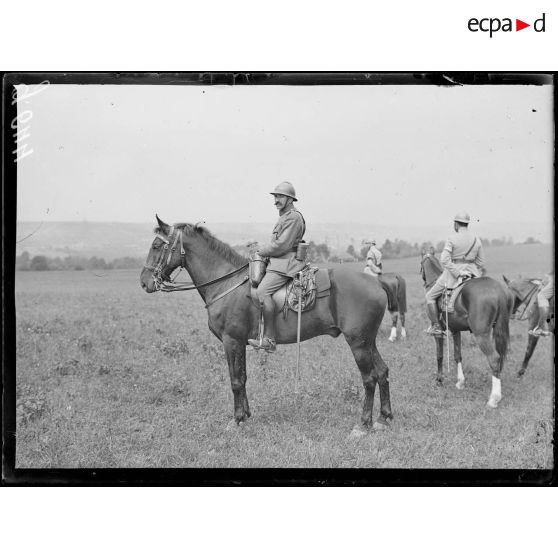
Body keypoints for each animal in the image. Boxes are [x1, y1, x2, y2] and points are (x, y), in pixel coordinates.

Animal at [140, 217, 394, 436]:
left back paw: (363, 424)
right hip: (368, 341)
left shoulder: (231, 341)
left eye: (156, 245)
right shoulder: (240, 343)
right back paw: (383, 418)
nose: (144, 282)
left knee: (369, 378)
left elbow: (235, 381)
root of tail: (376, 282)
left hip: (358, 343)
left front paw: (236, 420)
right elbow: (242, 378)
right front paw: (246, 415)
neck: (227, 283)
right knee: (382, 371)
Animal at [428, 264, 512, 410]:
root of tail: (498, 290)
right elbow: (457, 355)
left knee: (494, 359)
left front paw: (439, 380)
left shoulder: (439, 332)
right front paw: (460, 382)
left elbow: (439, 355)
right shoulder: (456, 331)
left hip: (481, 335)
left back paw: (493, 399)